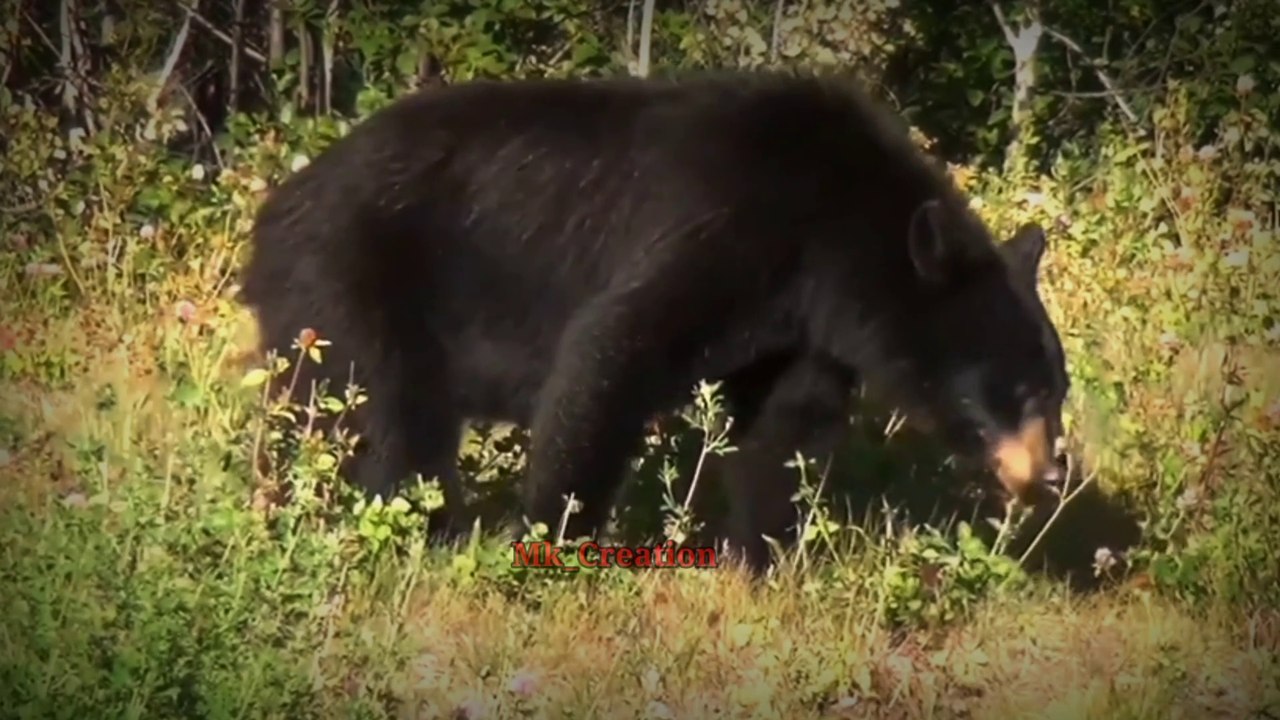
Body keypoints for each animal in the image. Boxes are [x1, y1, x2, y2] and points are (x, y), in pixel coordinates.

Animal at [237, 69, 1070, 573]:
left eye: (1057, 391)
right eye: (1023, 393)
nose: (1052, 473)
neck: (834, 228)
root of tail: (273, 212)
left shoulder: (800, 318)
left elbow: (788, 424)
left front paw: (763, 557)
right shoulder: (728, 225)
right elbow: (615, 346)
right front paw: (556, 538)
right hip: (349, 285)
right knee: (389, 422)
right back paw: (424, 533)